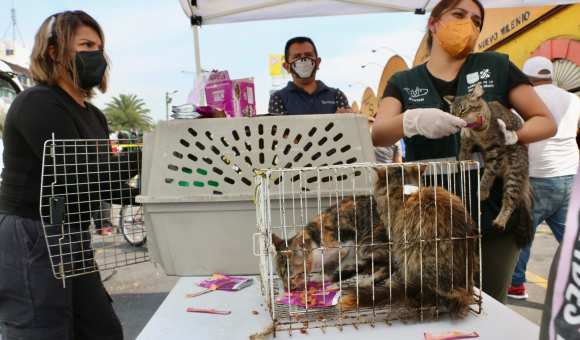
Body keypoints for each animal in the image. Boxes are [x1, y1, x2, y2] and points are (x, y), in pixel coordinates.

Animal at [446, 84, 532, 244]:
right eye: (452, 113)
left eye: (463, 110)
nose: (457, 120)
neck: (479, 131)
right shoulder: (469, 143)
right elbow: (463, 150)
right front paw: (463, 158)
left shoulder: (496, 151)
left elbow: (488, 175)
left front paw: (482, 191)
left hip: (514, 175)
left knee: (510, 201)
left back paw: (500, 221)